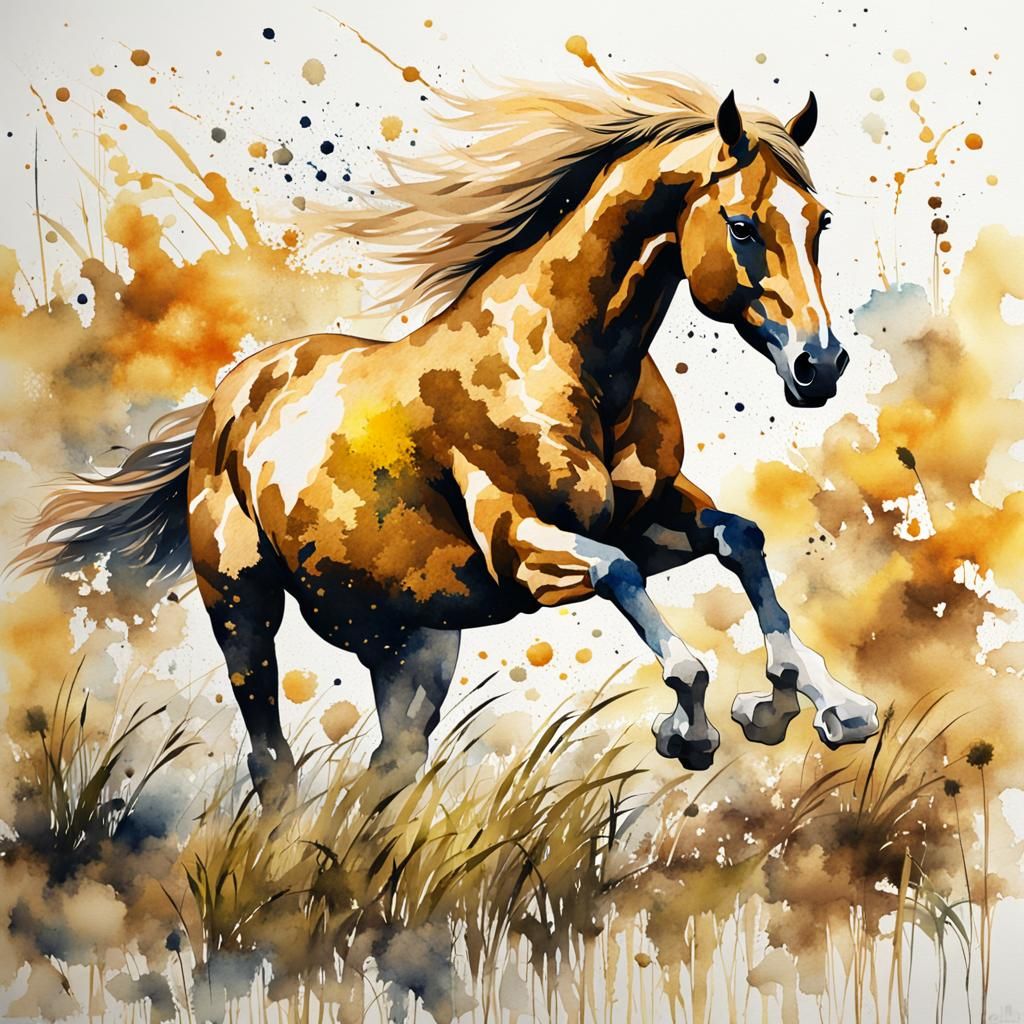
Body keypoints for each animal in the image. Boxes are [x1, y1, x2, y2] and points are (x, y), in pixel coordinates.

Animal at [17, 73, 879, 803]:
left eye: (821, 221)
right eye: (742, 224)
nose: (820, 364)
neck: (571, 359)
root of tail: (230, 399)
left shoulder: (651, 512)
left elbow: (741, 539)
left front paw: (814, 703)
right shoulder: (522, 548)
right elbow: (625, 579)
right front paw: (691, 727)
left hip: (412, 644)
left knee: (388, 767)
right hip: (242, 606)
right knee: (272, 761)